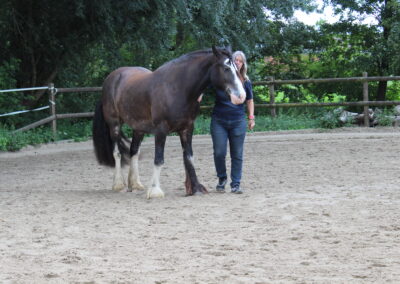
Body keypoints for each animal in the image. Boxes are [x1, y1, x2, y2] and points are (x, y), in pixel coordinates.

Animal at [92, 46, 245, 197]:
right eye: (226, 68)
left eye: (237, 69)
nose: (241, 96)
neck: (178, 88)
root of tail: (111, 78)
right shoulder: (161, 130)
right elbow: (159, 159)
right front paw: (155, 190)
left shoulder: (187, 128)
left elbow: (189, 157)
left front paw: (195, 188)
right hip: (114, 125)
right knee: (117, 153)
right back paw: (119, 185)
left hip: (138, 127)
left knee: (134, 152)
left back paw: (135, 184)